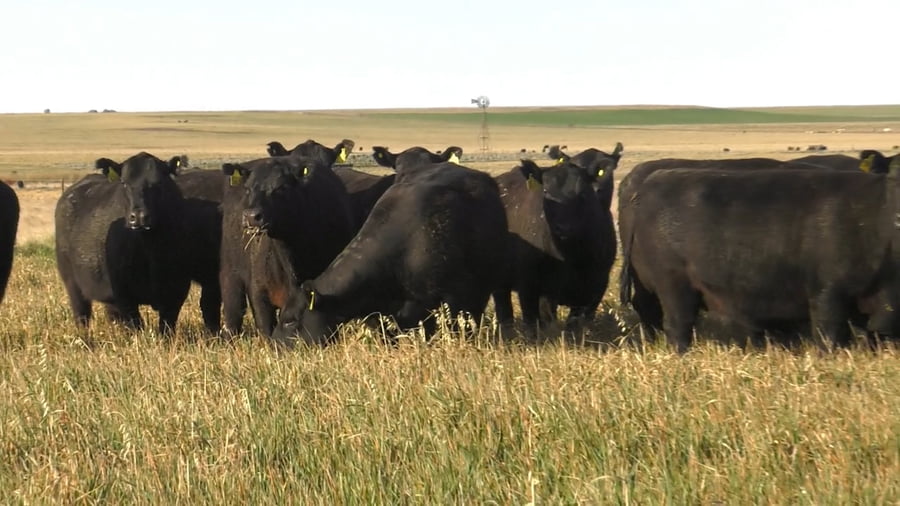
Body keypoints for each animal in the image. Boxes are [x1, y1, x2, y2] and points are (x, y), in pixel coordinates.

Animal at [55, 152, 207, 334]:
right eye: (124, 183)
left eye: (159, 182)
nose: (139, 216)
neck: (148, 250)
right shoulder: (124, 295)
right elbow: (136, 326)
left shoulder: (176, 291)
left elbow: (166, 328)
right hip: (73, 284)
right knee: (82, 316)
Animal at [219, 152, 356, 339]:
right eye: (248, 189)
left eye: (281, 187)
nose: (252, 216)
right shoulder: (259, 294)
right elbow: (266, 329)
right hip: (230, 273)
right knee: (233, 311)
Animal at [492, 157, 615, 333]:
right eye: (545, 192)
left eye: (583, 193)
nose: (563, 227)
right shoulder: (532, 287)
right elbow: (537, 320)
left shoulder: (598, 284)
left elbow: (577, 322)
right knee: (504, 307)